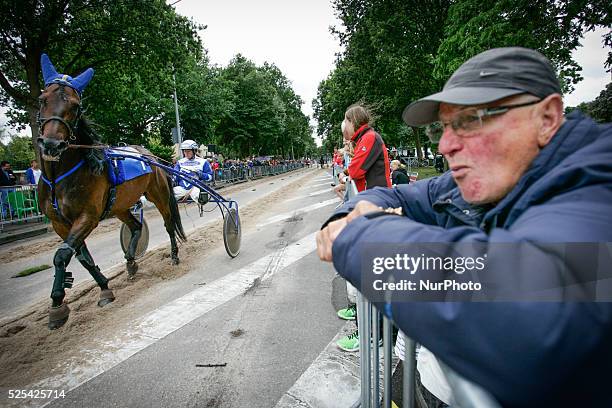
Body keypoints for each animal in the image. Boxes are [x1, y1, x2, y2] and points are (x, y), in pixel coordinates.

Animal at [37, 82, 185, 328]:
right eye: (43, 99)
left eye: (75, 106)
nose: (51, 144)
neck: (59, 179)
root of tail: (151, 155)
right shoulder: (60, 223)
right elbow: (81, 258)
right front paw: (104, 289)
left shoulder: (88, 217)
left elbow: (62, 255)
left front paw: (57, 305)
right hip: (120, 206)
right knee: (136, 226)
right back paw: (131, 262)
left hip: (159, 194)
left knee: (168, 224)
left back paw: (173, 255)